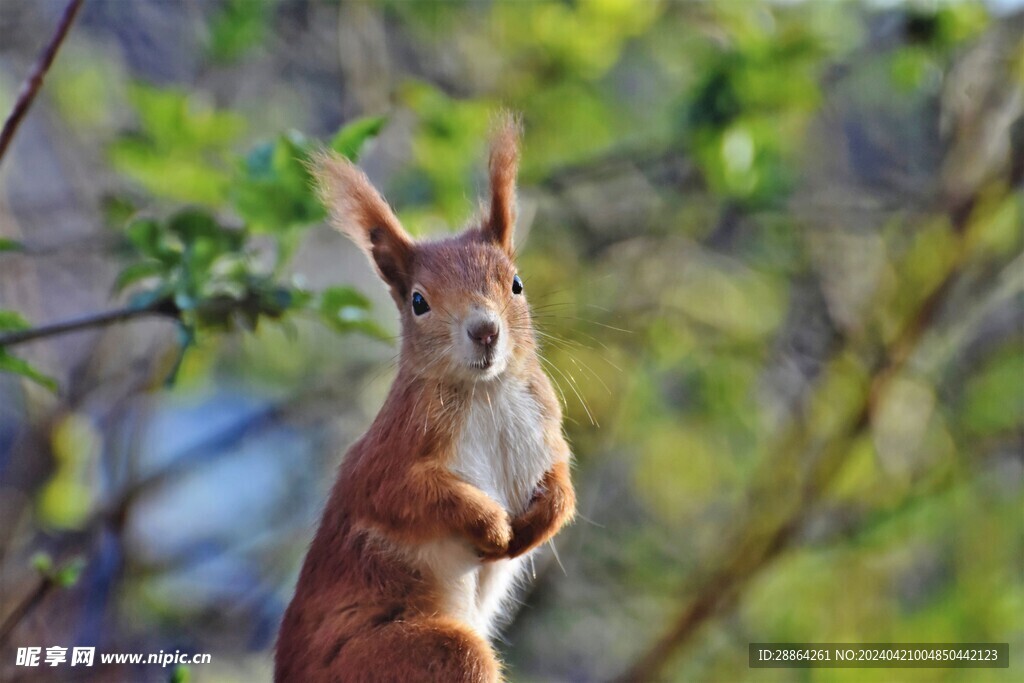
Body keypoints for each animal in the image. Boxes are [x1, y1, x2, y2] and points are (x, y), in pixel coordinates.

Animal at [274, 114, 577, 679]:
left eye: (516, 284)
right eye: (419, 302)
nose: (485, 331)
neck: (486, 393)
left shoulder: (546, 425)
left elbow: (563, 485)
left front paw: (536, 524)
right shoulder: (390, 453)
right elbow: (403, 494)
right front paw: (493, 527)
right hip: (392, 655)